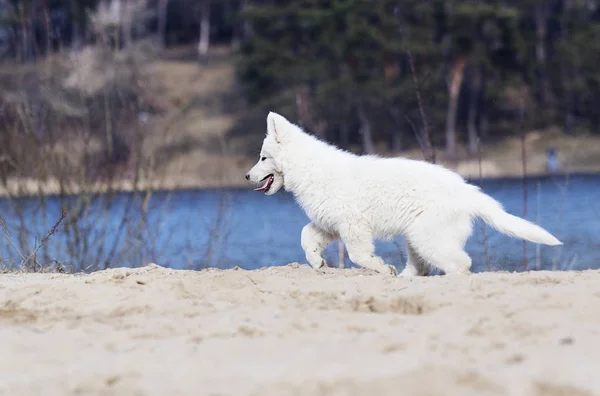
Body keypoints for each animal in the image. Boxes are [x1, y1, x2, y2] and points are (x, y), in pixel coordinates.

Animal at [245, 111, 564, 276]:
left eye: (262, 158)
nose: (247, 176)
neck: (308, 169)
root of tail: (467, 190)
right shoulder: (330, 223)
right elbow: (306, 236)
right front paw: (316, 262)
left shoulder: (353, 226)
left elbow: (359, 254)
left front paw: (379, 267)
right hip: (416, 238)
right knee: (422, 268)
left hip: (427, 237)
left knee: (460, 264)